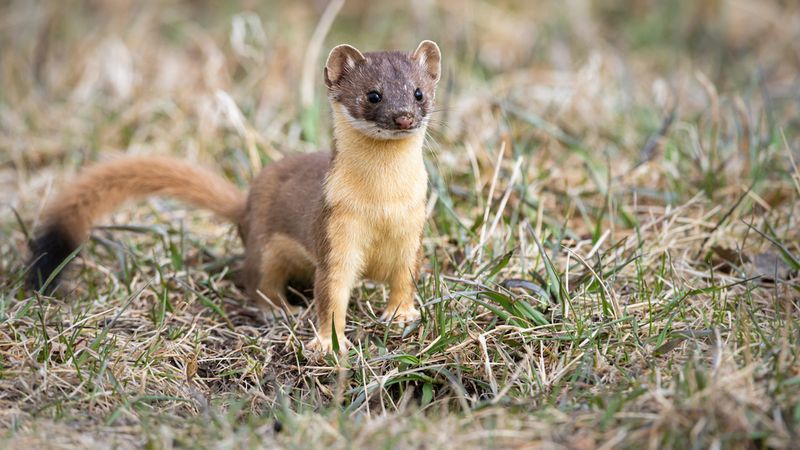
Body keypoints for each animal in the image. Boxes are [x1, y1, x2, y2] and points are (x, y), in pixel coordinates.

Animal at [26, 39, 444, 356]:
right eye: (373, 94)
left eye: (419, 92)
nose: (404, 116)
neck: (381, 205)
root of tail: (245, 204)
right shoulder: (335, 232)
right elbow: (331, 293)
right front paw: (326, 344)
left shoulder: (413, 228)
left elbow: (406, 276)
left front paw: (401, 315)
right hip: (265, 245)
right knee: (257, 277)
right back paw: (278, 309)